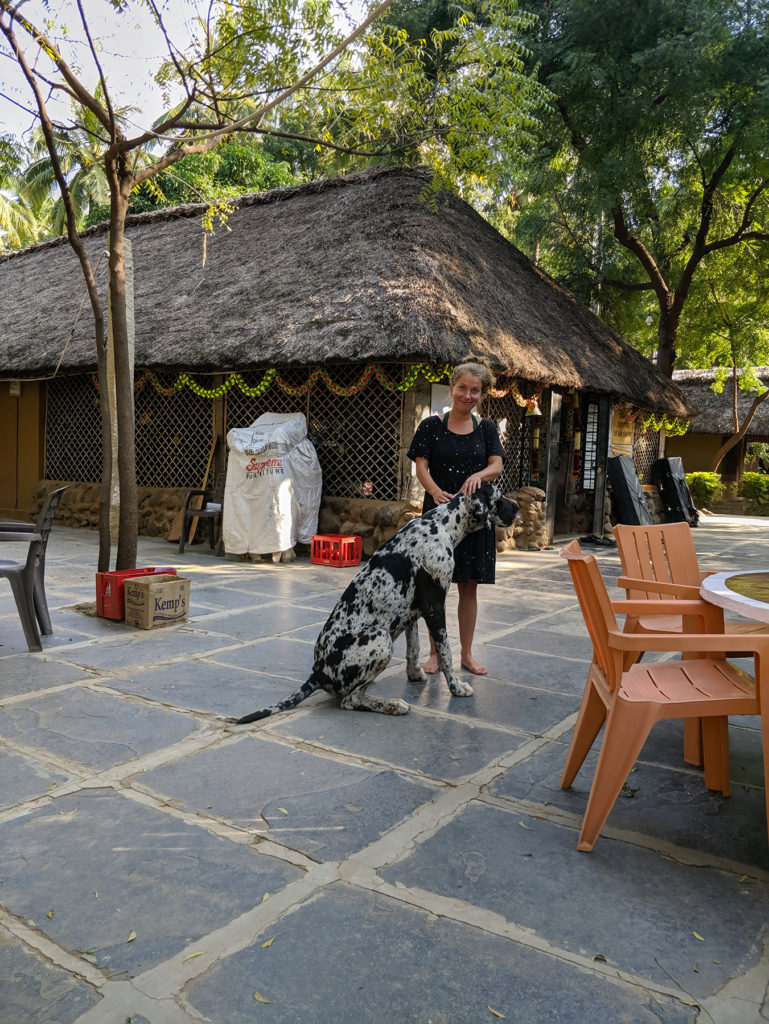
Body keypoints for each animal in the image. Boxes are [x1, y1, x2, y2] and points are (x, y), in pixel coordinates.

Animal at [233, 483, 518, 724]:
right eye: (499, 496)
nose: (516, 508)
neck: (443, 526)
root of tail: (317, 673)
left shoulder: (412, 610)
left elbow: (414, 649)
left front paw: (415, 675)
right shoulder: (435, 606)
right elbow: (446, 653)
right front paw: (456, 687)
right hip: (381, 639)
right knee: (350, 700)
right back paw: (390, 704)